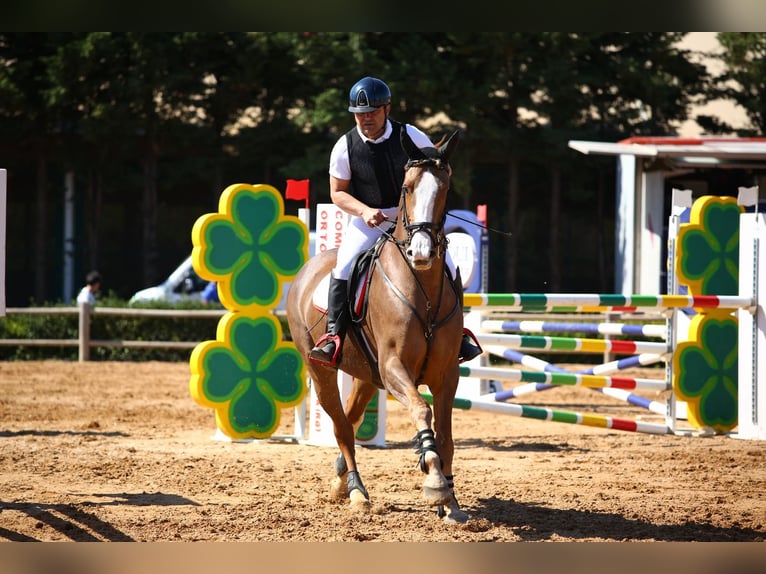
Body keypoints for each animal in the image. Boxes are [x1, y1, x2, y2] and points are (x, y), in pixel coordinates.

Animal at [286, 128, 468, 524]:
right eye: (407, 187)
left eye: (445, 188)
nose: (421, 253)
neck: (421, 287)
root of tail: (307, 270)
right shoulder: (395, 367)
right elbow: (421, 410)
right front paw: (434, 479)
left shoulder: (446, 372)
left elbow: (446, 434)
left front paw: (450, 499)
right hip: (321, 370)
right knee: (341, 426)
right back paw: (356, 491)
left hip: (368, 376)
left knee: (351, 420)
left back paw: (341, 482)